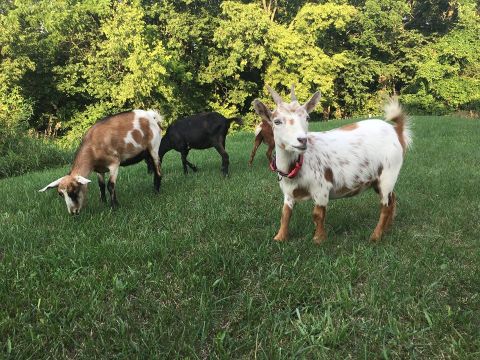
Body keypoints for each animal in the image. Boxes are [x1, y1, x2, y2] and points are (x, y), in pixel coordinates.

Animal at [251, 85, 412, 243]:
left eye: (307, 117)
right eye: (277, 121)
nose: (302, 140)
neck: (296, 165)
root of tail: (396, 130)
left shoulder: (321, 187)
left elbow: (318, 214)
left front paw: (318, 239)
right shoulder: (288, 193)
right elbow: (285, 214)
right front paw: (280, 237)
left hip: (388, 173)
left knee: (385, 206)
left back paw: (376, 236)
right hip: (377, 179)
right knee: (392, 199)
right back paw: (388, 228)